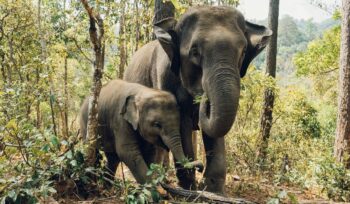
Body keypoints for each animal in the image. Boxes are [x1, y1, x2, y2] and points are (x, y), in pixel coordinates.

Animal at [124, 5, 272, 193]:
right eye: (194, 52)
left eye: (244, 51)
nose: (203, 97)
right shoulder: (164, 76)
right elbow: (182, 123)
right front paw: (189, 186)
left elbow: (213, 130)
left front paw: (213, 189)